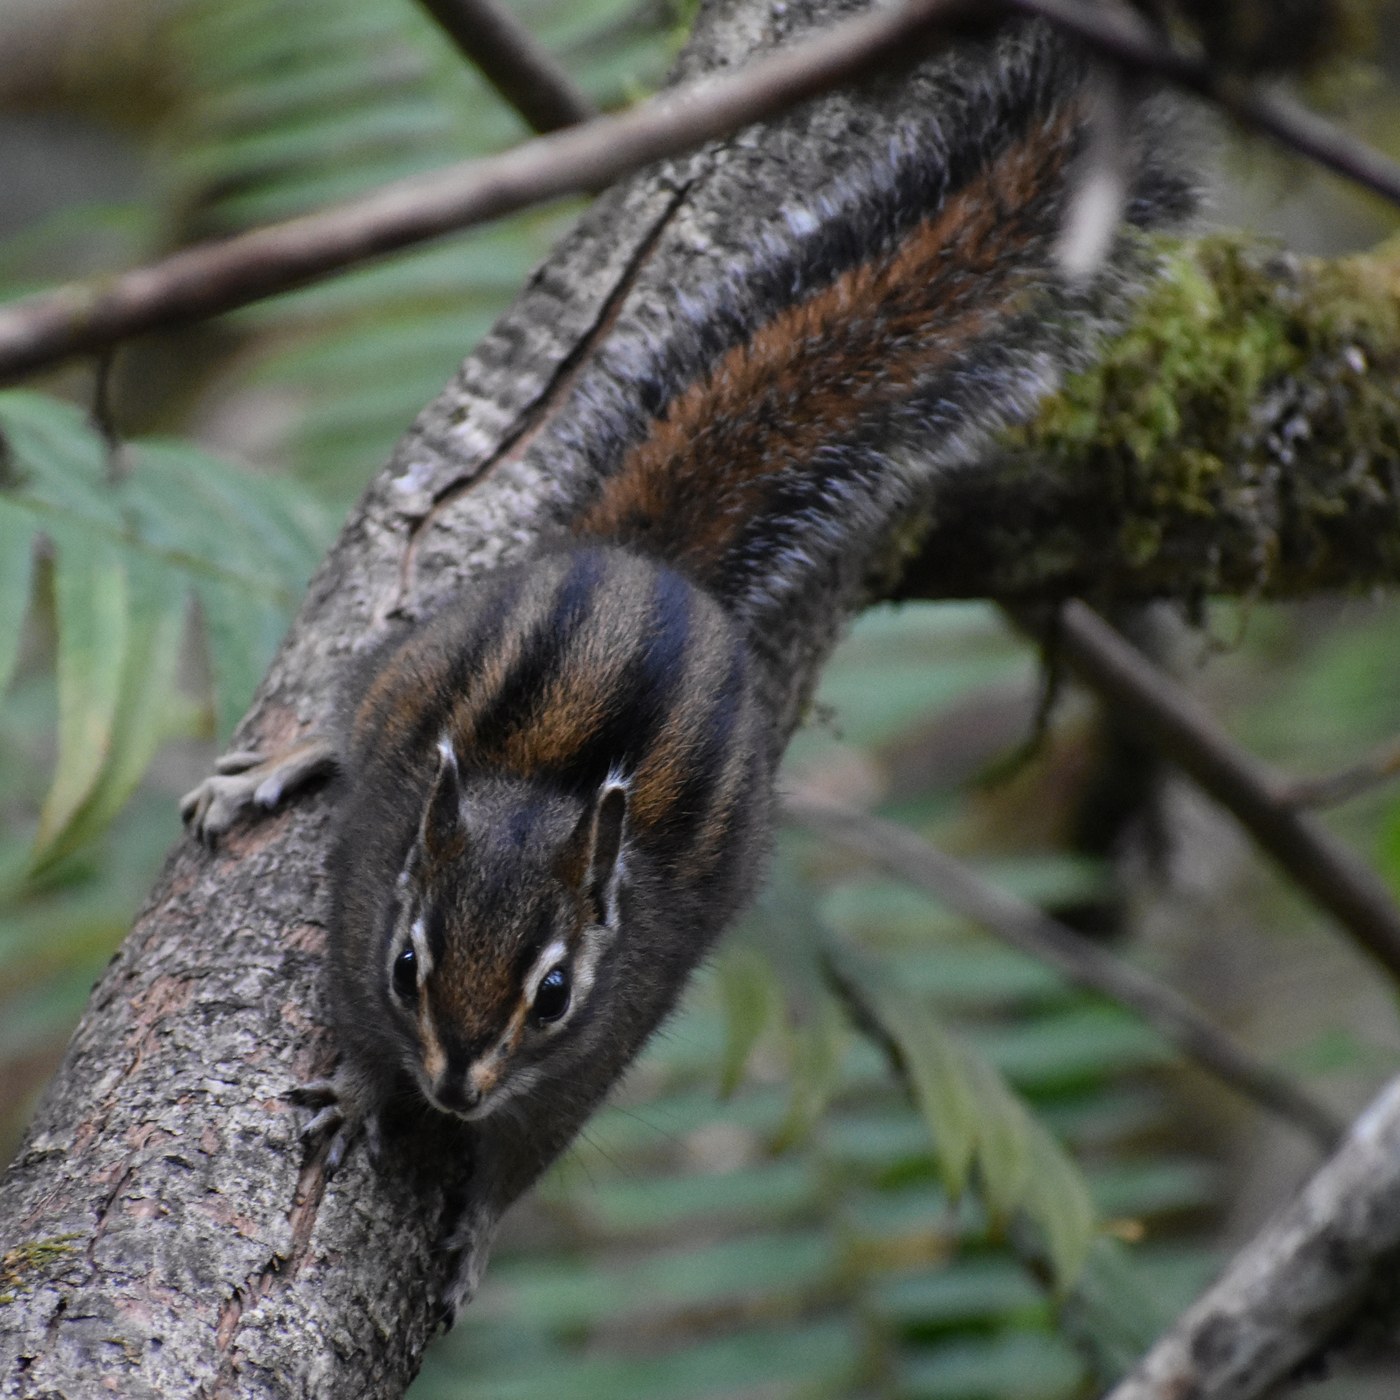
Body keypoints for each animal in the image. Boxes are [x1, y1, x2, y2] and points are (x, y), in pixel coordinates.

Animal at [181, 16, 1191, 1317]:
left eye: (554, 994)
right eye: (407, 963)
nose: (454, 1083)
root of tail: (652, 565)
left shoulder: (602, 1041)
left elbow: (531, 1150)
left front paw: (477, 1228)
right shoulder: (366, 904)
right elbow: (351, 1022)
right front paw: (362, 1089)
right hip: (426, 653)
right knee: (359, 700)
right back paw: (277, 765)